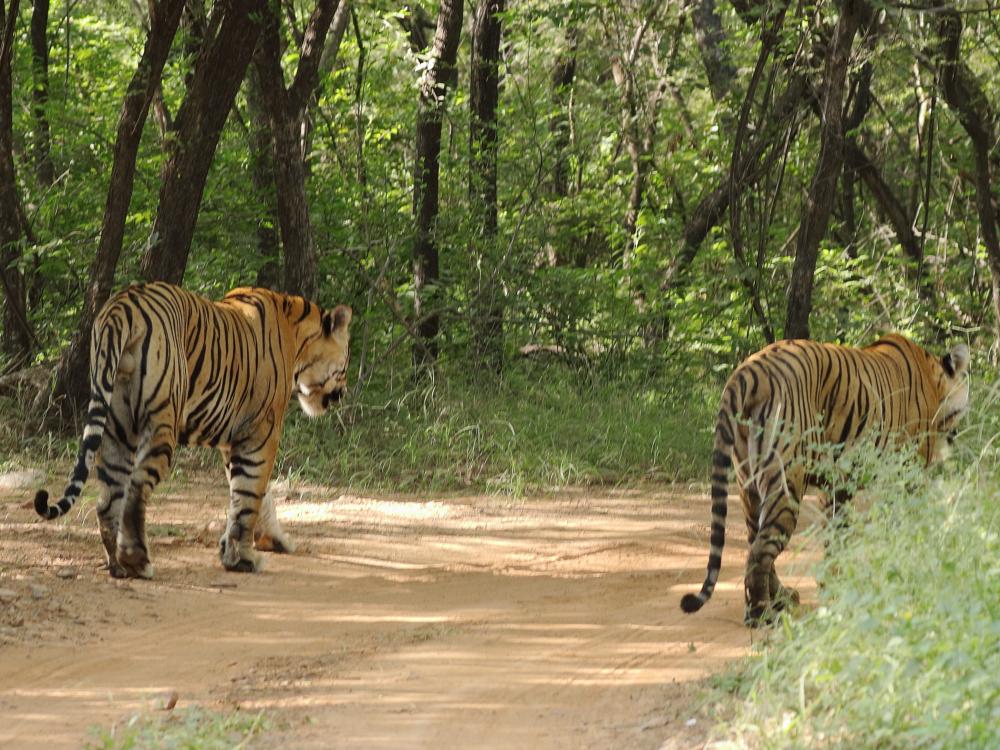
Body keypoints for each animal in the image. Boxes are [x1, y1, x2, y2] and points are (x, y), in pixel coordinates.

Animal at [34, 284, 352, 580]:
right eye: (346, 364)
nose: (341, 394)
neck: (296, 334)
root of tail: (120, 306)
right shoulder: (261, 432)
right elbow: (250, 494)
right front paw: (244, 558)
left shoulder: (234, 440)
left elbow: (254, 496)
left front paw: (267, 542)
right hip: (161, 422)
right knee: (135, 490)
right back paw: (137, 562)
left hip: (116, 426)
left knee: (108, 499)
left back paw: (118, 565)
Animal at [680, 336, 968, 628]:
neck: (933, 378)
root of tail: (748, 372)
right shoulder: (907, 473)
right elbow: (905, 526)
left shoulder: (835, 484)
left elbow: (836, 535)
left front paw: (837, 583)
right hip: (785, 481)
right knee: (760, 549)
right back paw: (762, 614)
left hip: (748, 484)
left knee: (753, 539)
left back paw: (782, 598)